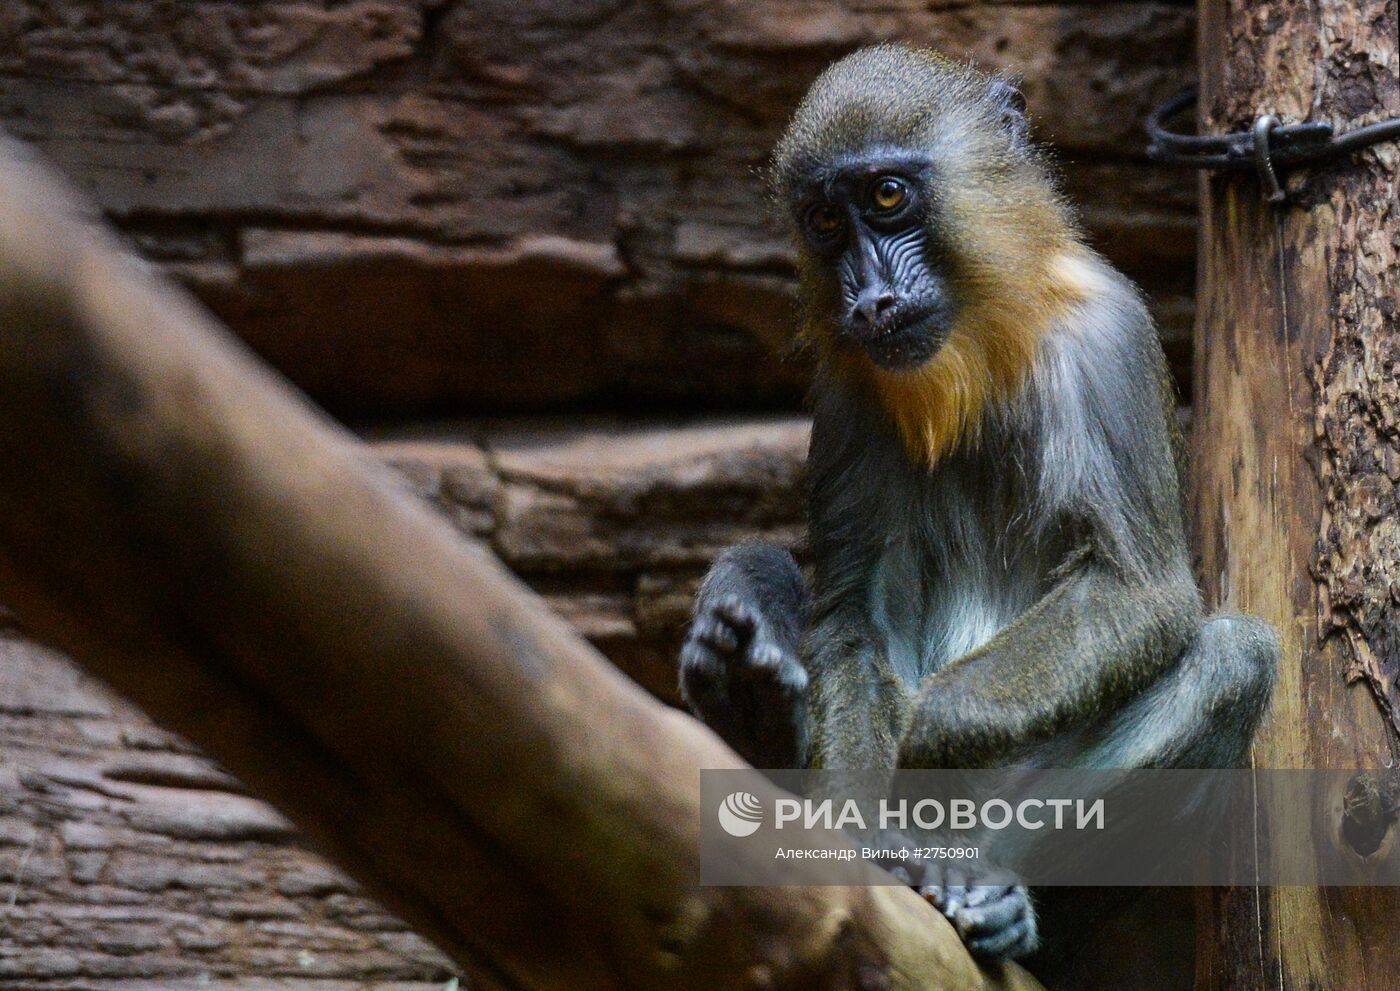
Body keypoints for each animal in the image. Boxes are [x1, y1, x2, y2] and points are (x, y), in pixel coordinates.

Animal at [677, 44, 1282, 968]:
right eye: (824, 221)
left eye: (889, 196)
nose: (872, 301)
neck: (982, 352)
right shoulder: (851, 390)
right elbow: (854, 612)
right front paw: (865, 831)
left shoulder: (1106, 340)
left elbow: (1138, 591)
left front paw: (927, 747)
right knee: (761, 563)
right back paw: (747, 688)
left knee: (1232, 657)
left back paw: (997, 896)